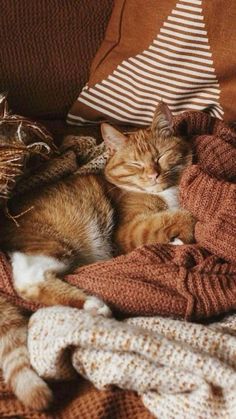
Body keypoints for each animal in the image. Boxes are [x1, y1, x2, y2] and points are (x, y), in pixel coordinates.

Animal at [0, 101, 194, 410]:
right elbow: (175, 217)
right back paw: (92, 305)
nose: (153, 175)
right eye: (135, 164)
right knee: (28, 281)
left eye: (161, 156)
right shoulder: (128, 232)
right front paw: (182, 232)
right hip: (56, 241)